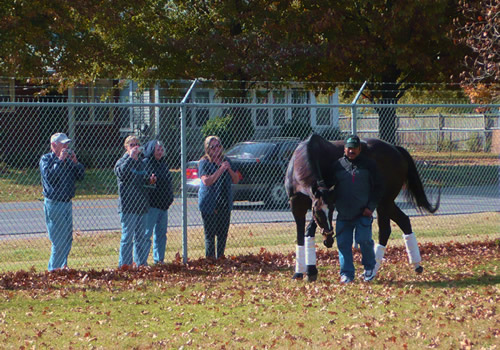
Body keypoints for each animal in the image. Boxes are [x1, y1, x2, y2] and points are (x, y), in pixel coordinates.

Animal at [288, 134, 440, 282]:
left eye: (331, 210)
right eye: (318, 212)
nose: (329, 240)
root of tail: (396, 149)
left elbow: (308, 231)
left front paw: (311, 271)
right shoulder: (297, 207)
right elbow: (300, 237)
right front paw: (299, 273)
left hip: (383, 202)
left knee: (385, 231)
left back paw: (372, 271)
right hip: (387, 203)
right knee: (403, 221)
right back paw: (416, 265)